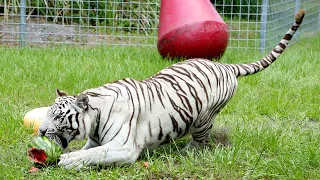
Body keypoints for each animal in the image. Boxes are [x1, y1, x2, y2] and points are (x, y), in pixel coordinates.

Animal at [38, 10, 304, 170]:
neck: (95, 115)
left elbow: (93, 155)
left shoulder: (125, 147)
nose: (39, 131)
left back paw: (186, 150)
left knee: (201, 141)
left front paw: (68, 160)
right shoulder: (95, 140)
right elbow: (89, 151)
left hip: (203, 118)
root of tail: (225, 65)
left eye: (58, 116)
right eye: (48, 113)